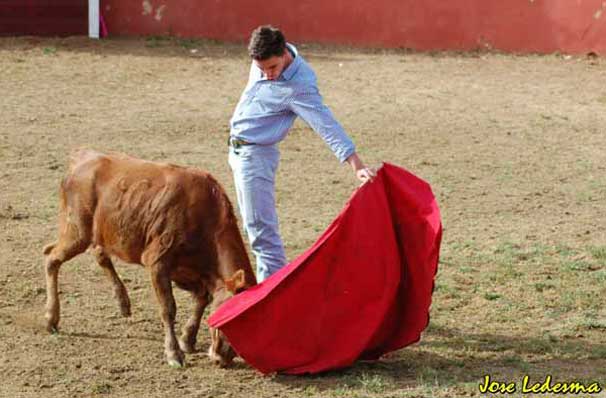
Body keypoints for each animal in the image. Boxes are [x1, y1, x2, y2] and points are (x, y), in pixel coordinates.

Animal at [42, 149, 256, 366]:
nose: (223, 358)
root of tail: (84, 158)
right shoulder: (157, 262)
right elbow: (168, 307)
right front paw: (174, 353)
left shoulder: (191, 271)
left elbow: (202, 299)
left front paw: (187, 339)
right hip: (77, 232)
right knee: (52, 258)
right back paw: (51, 318)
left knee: (98, 254)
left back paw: (123, 302)